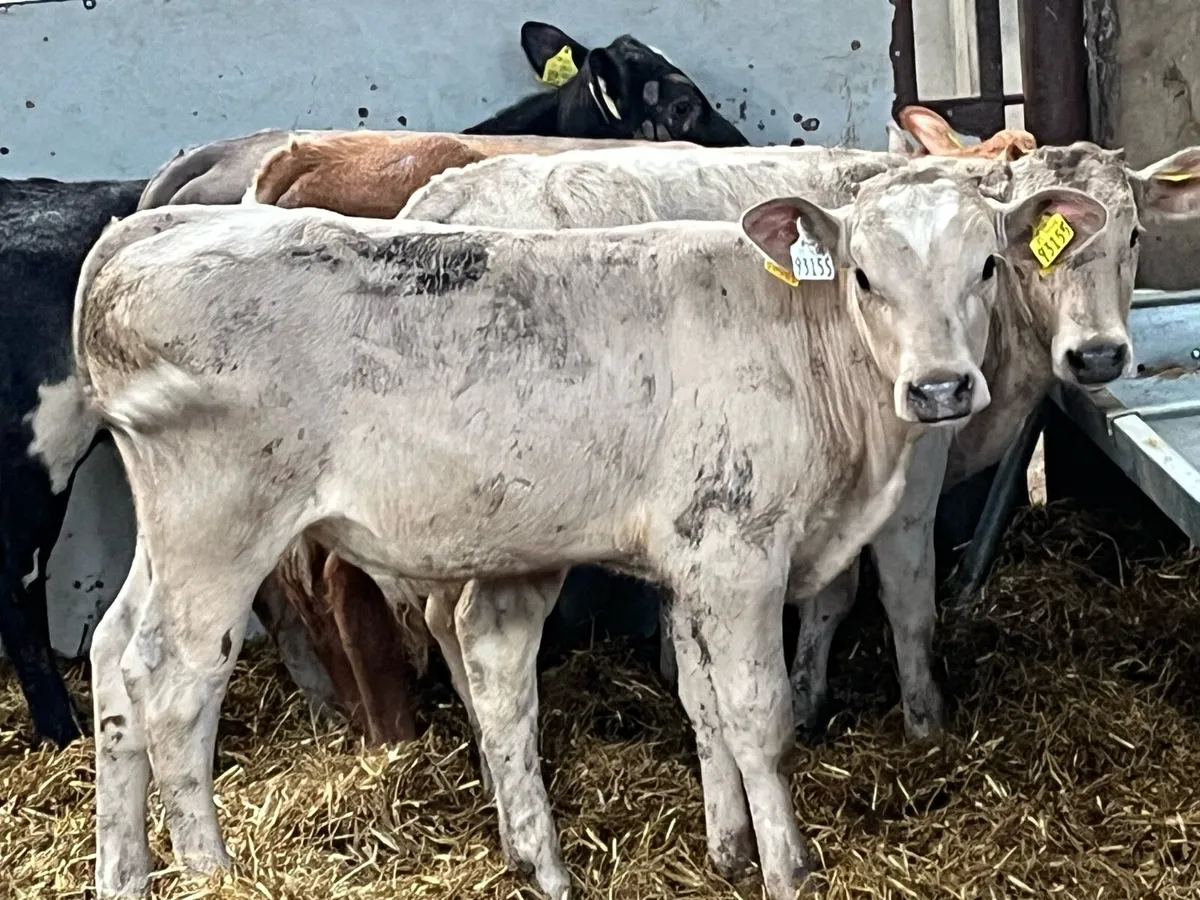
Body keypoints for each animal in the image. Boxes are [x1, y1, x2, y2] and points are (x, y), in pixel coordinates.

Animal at [76, 166, 1087, 899]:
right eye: (867, 276)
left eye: (987, 266)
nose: (940, 388)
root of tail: (151, 230)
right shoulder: (738, 555)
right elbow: (758, 718)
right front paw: (786, 868)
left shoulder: (687, 557)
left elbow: (703, 705)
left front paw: (725, 850)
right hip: (221, 526)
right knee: (173, 683)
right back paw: (211, 873)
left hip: (165, 535)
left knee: (112, 655)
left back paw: (124, 876)